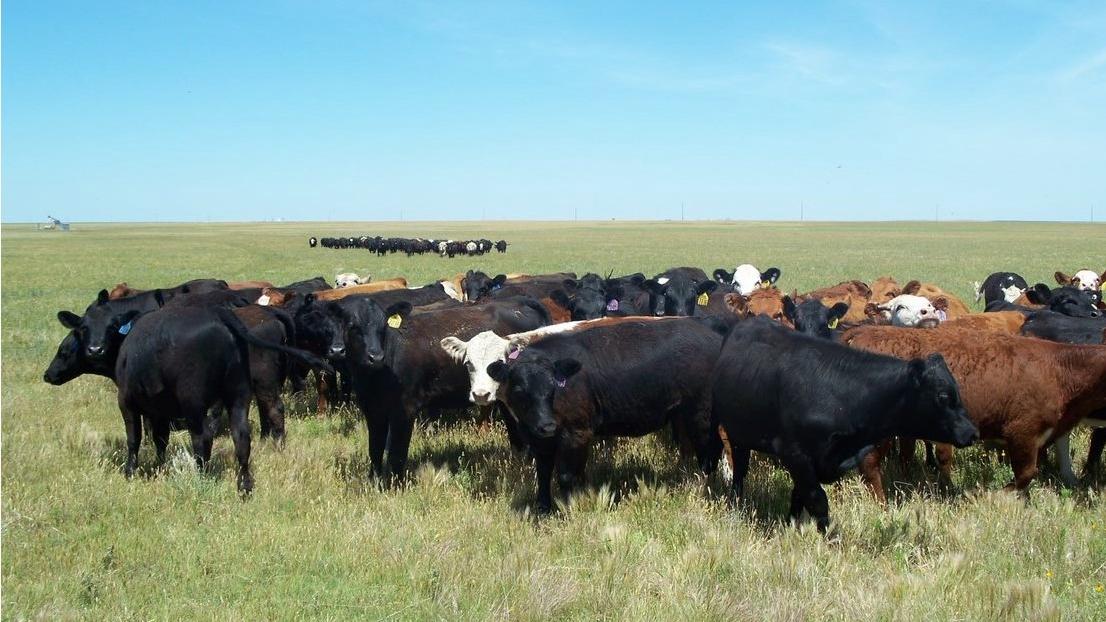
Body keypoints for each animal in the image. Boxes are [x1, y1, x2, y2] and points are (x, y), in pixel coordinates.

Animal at [484, 317, 732, 513]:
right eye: (519, 390)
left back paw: (704, 491)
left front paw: (570, 509)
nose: (547, 426)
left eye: (553, 387)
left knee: (709, 455)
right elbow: (544, 472)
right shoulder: (538, 439)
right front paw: (544, 508)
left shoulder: (577, 432)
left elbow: (566, 474)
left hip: (702, 414)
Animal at [712, 317, 978, 531]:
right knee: (739, 471)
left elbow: (799, 496)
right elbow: (817, 499)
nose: (972, 433)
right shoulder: (795, 453)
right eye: (943, 396)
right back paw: (736, 505)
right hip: (737, 434)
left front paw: (792, 526)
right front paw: (831, 540)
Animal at [842, 326, 1106, 500]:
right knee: (870, 463)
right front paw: (998, 494)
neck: (1059, 370)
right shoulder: (1022, 432)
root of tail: (864, 332)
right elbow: (1026, 473)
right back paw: (882, 503)